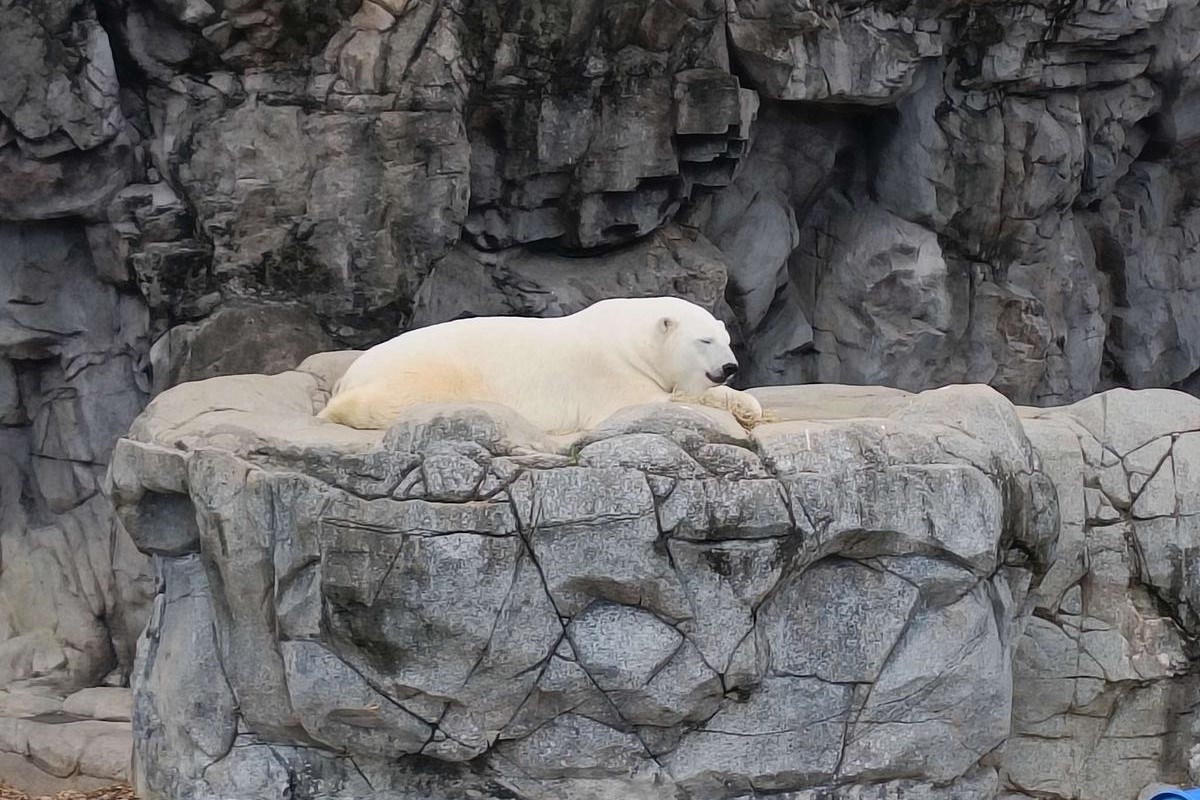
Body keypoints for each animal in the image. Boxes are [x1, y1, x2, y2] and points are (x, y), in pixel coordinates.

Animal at [319, 296, 763, 434]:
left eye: (726, 340)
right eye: (704, 340)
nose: (730, 367)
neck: (629, 337)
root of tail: (348, 376)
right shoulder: (609, 373)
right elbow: (649, 401)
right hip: (421, 373)